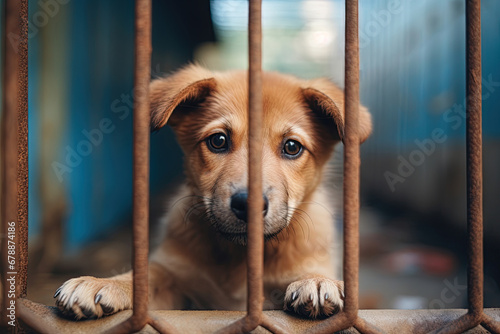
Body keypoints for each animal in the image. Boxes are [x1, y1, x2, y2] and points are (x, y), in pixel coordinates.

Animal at [53, 64, 372, 320]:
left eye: (292, 147)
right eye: (218, 141)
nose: (248, 204)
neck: (238, 257)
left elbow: (310, 274)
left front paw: (316, 281)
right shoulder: (178, 279)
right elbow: (148, 276)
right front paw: (105, 283)